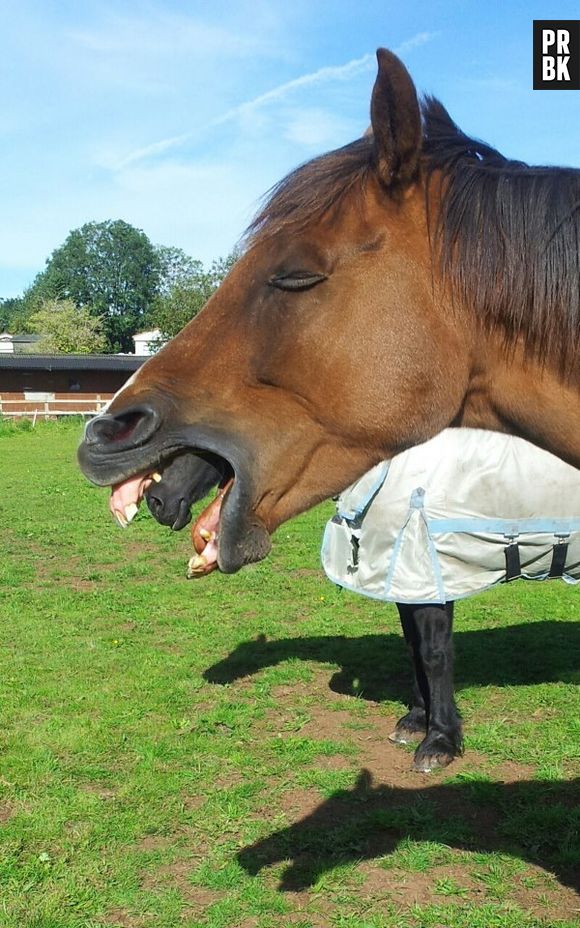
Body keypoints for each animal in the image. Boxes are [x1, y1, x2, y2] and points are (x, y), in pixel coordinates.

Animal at [79, 50, 580, 768]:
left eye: (296, 274)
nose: (107, 434)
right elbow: (413, 648)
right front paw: (417, 720)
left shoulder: (424, 574)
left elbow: (432, 649)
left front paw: (439, 740)